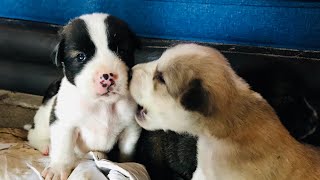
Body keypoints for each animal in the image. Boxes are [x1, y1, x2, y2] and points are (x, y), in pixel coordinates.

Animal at [24, 13, 140, 179]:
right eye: (80, 57)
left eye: (122, 51)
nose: (107, 77)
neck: (102, 104)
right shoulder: (64, 124)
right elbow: (63, 150)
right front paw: (58, 169)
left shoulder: (131, 128)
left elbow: (127, 152)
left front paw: (127, 165)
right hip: (43, 120)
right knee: (34, 134)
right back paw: (45, 144)